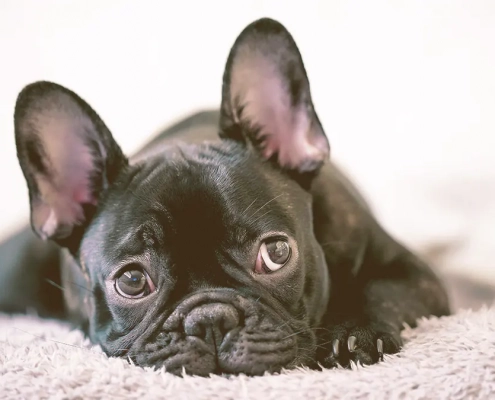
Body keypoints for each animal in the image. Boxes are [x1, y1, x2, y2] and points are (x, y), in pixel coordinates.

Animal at [0, 18, 450, 376]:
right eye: (131, 281)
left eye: (277, 253)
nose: (209, 319)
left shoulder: (414, 275)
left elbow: (383, 292)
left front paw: (357, 332)